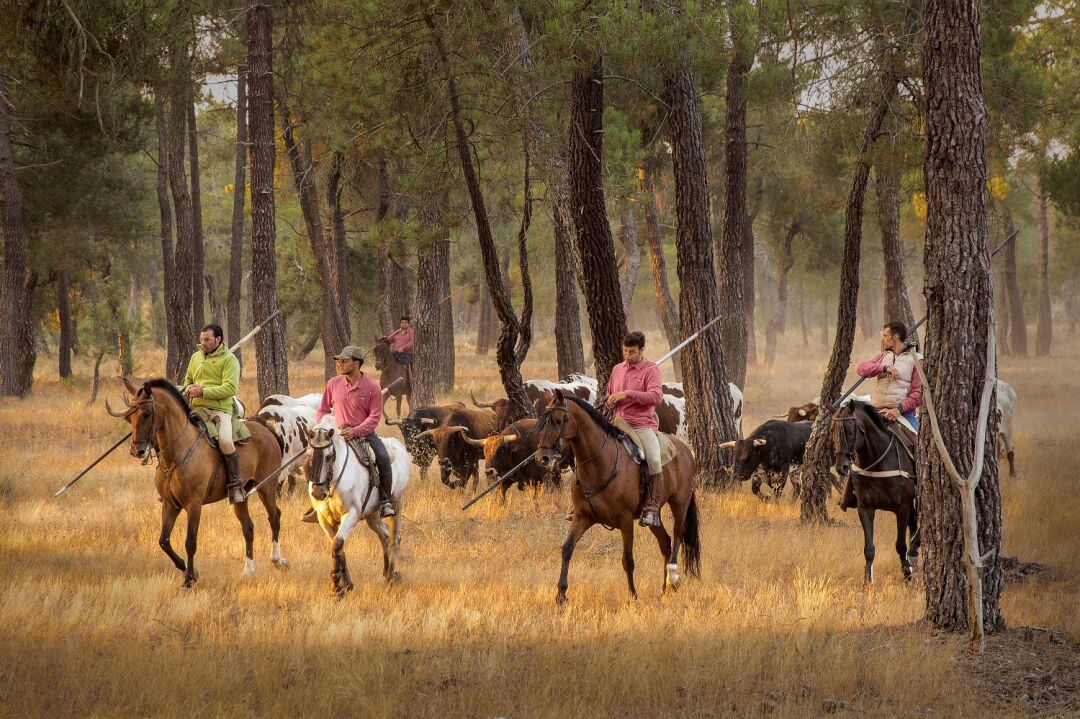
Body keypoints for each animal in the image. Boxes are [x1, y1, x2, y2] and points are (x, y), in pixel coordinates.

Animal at [107, 377, 289, 587]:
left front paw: (189, 579)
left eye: (146, 414)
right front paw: (186, 568)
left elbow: (190, 542)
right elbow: (164, 541)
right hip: (241, 496)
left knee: (274, 517)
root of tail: (265, 427)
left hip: (266, 488)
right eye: (128, 418)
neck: (176, 456)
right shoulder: (170, 505)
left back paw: (277, 560)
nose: (137, 451)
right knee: (248, 528)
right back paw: (248, 570)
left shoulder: (193, 505)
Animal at [531, 388, 699, 600]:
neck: (599, 465)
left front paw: (633, 595)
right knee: (665, 542)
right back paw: (663, 589)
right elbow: (567, 549)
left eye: (559, 420)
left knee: (678, 534)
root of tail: (685, 450)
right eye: (542, 422)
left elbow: (627, 559)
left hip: (680, 503)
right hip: (652, 516)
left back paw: (673, 579)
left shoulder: (625, 521)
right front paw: (561, 595)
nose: (542, 458)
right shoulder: (582, 516)